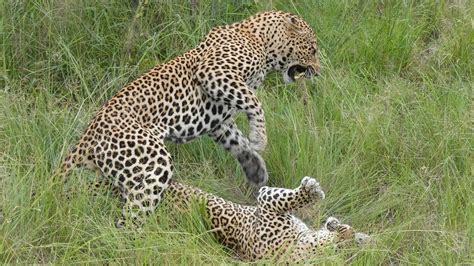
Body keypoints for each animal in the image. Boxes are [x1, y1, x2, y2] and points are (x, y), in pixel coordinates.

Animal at [57, 11, 320, 224]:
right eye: (313, 49)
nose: (317, 71)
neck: (259, 40)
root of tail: (88, 134)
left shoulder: (219, 121)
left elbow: (237, 140)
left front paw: (255, 167)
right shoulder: (215, 71)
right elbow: (254, 102)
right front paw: (259, 136)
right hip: (153, 161)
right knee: (132, 215)